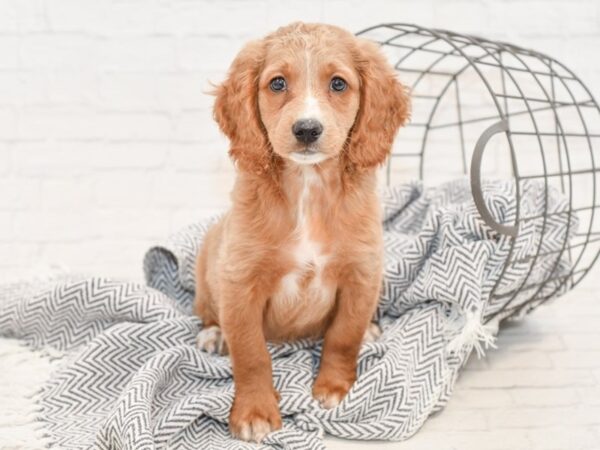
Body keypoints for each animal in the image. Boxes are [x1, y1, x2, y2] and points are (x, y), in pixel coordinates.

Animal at [195, 22, 410, 442]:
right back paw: (214, 335)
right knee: (210, 314)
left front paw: (334, 388)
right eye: (277, 83)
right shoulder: (240, 282)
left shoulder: (361, 273)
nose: (307, 129)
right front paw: (255, 411)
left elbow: (344, 335)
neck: (308, 187)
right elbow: (251, 354)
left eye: (339, 84)